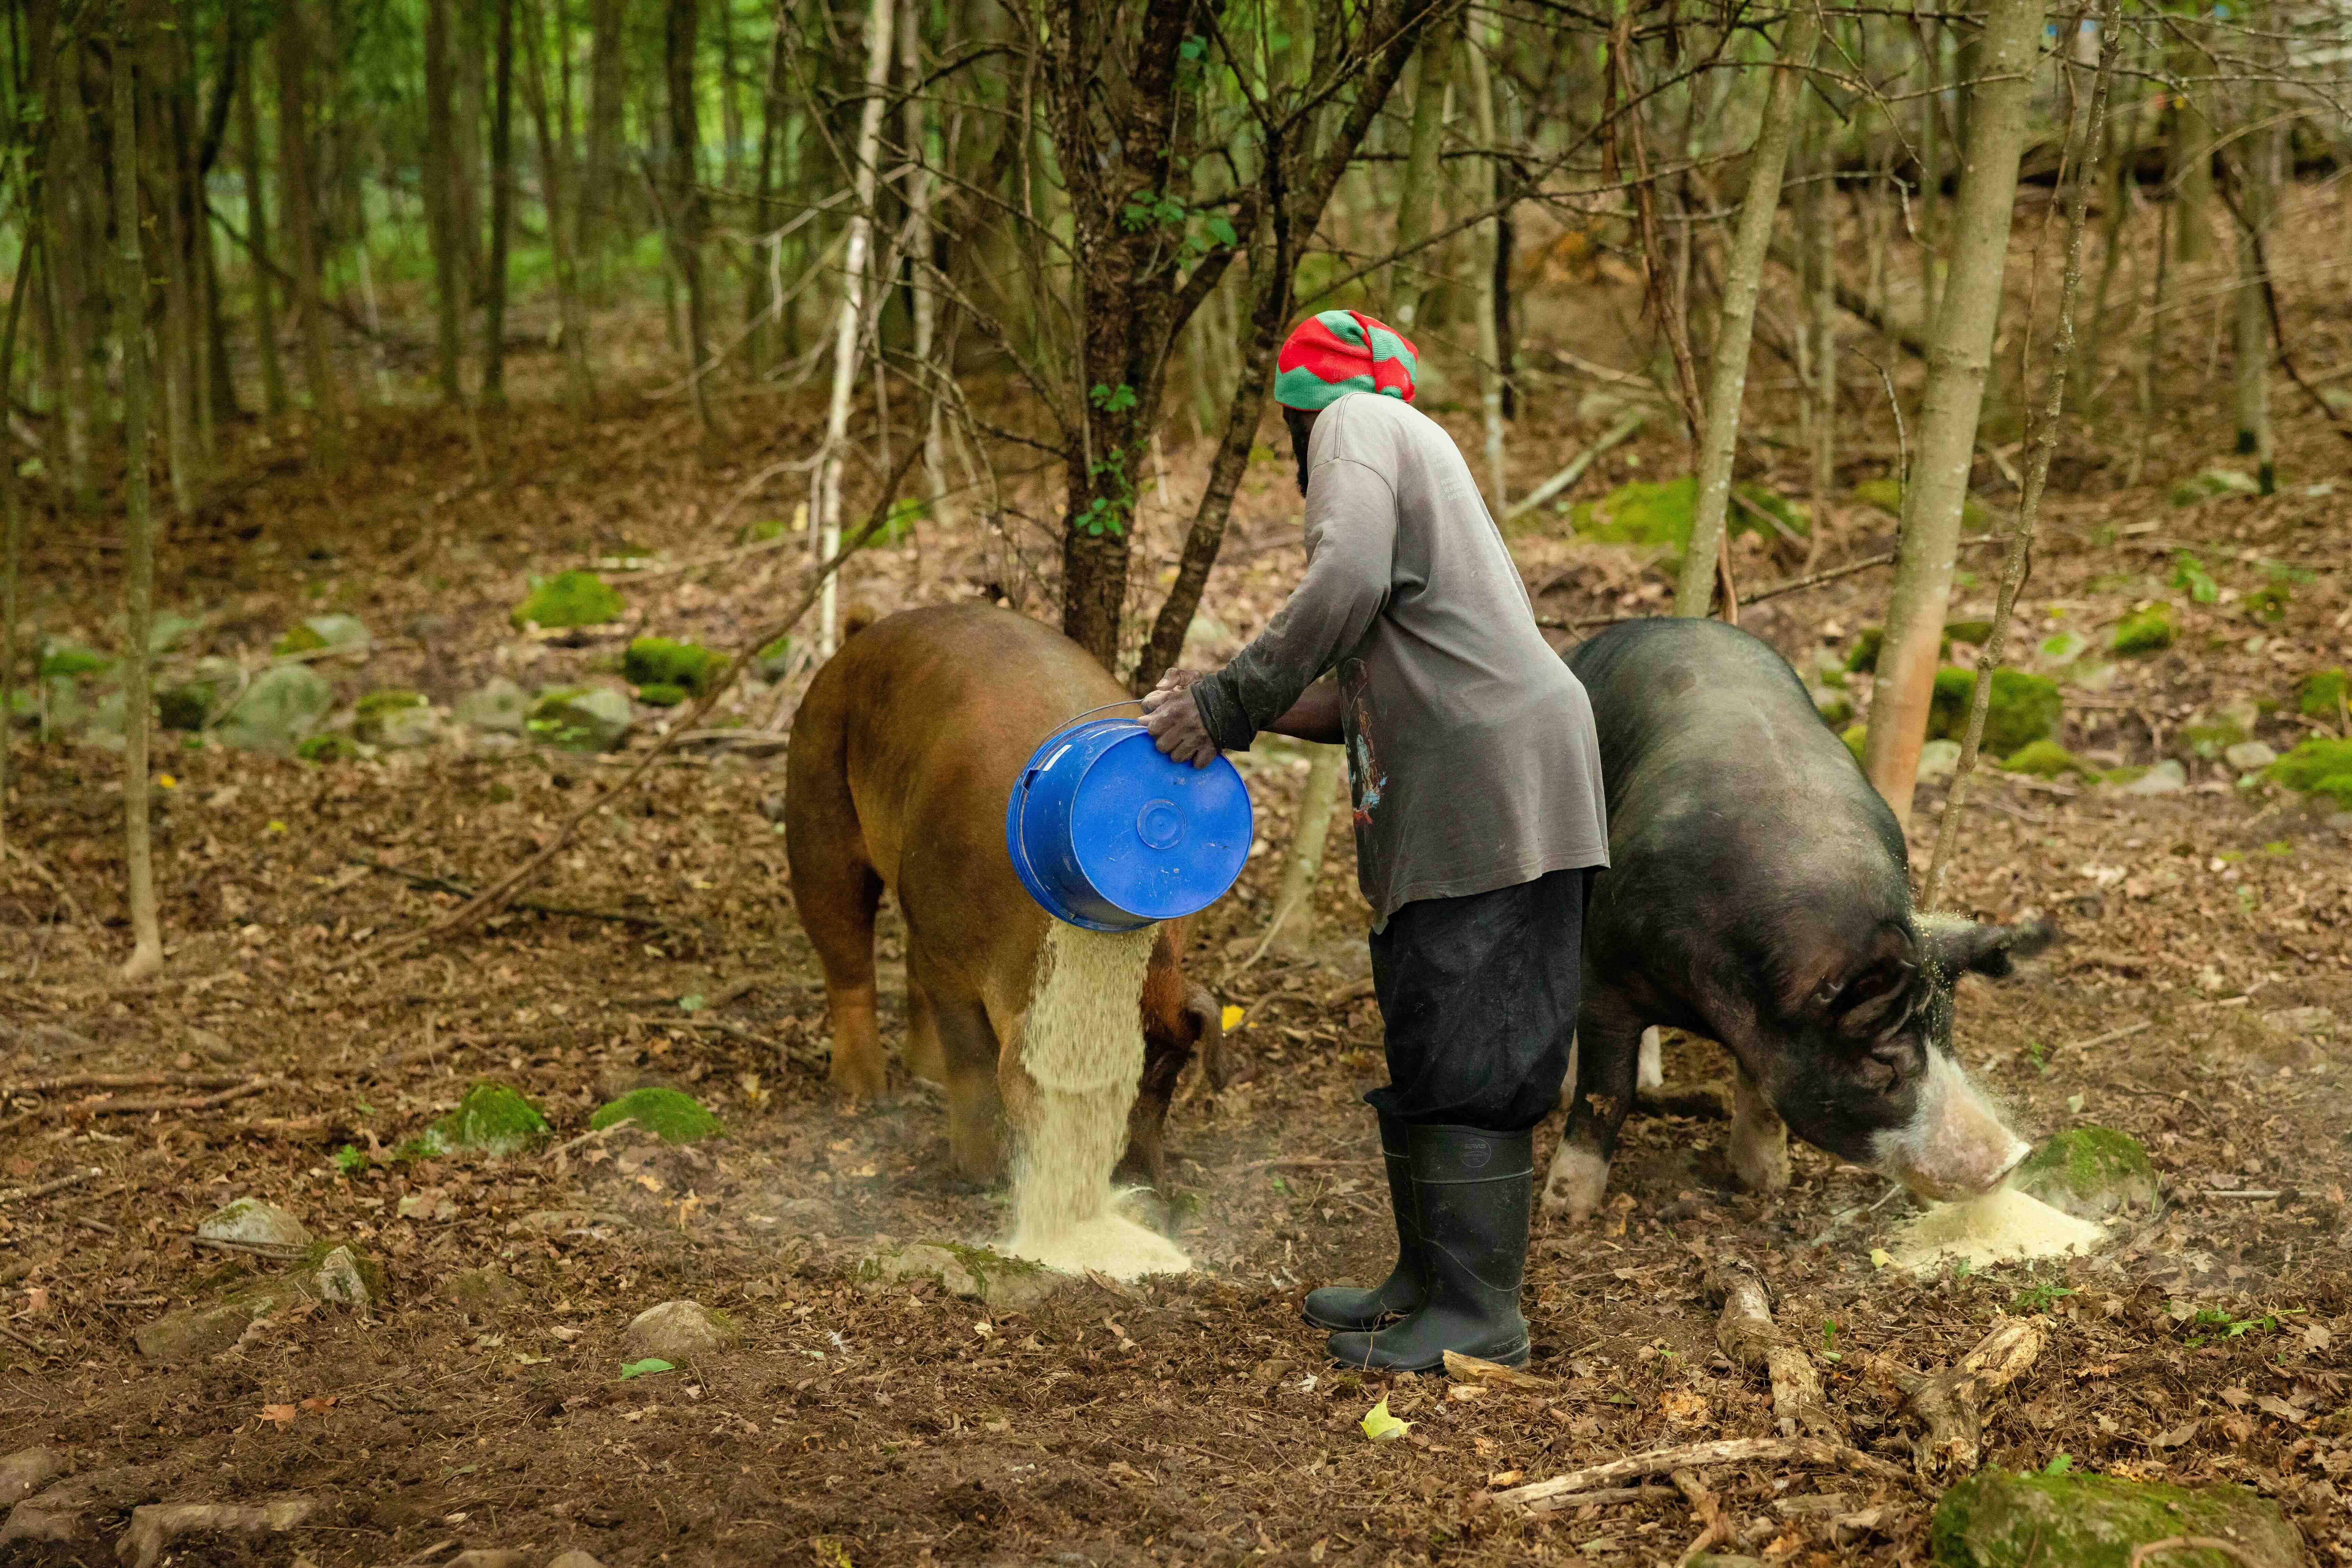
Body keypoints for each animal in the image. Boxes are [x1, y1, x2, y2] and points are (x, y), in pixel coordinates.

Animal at [785, 603, 1226, 1187]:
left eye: (1166, 1069)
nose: (1134, 1182)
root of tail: (860, 636)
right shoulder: (948, 954)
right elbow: (974, 1060)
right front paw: (978, 1175)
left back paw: (923, 1076)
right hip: (815, 802)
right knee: (846, 958)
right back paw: (865, 1093)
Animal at [1542, 618, 2050, 1220]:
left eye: (1946, 1036)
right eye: (1882, 1064)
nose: (2013, 1157)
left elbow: (1760, 1093)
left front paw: (1764, 1182)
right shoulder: (1608, 968)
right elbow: (1605, 1091)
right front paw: (1564, 1208)